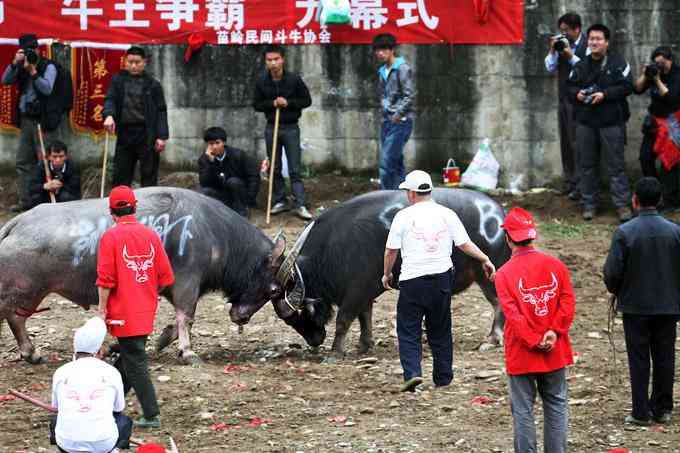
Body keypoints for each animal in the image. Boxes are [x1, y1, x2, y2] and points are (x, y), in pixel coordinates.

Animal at [0, 187, 286, 364]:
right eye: (273, 290)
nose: (242, 317)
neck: (215, 233)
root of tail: (18, 222)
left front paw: (150, 341)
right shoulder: (187, 283)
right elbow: (186, 318)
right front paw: (188, 351)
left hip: (30, 292)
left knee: (16, 318)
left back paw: (31, 353)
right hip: (25, 289)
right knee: (13, 317)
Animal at [270, 187, 510, 354]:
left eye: (297, 314)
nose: (315, 341)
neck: (333, 248)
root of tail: (501, 213)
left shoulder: (357, 289)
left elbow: (344, 318)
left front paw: (336, 350)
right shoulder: (365, 290)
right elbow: (365, 316)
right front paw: (364, 345)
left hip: (489, 274)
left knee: (499, 304)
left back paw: (491, 340)